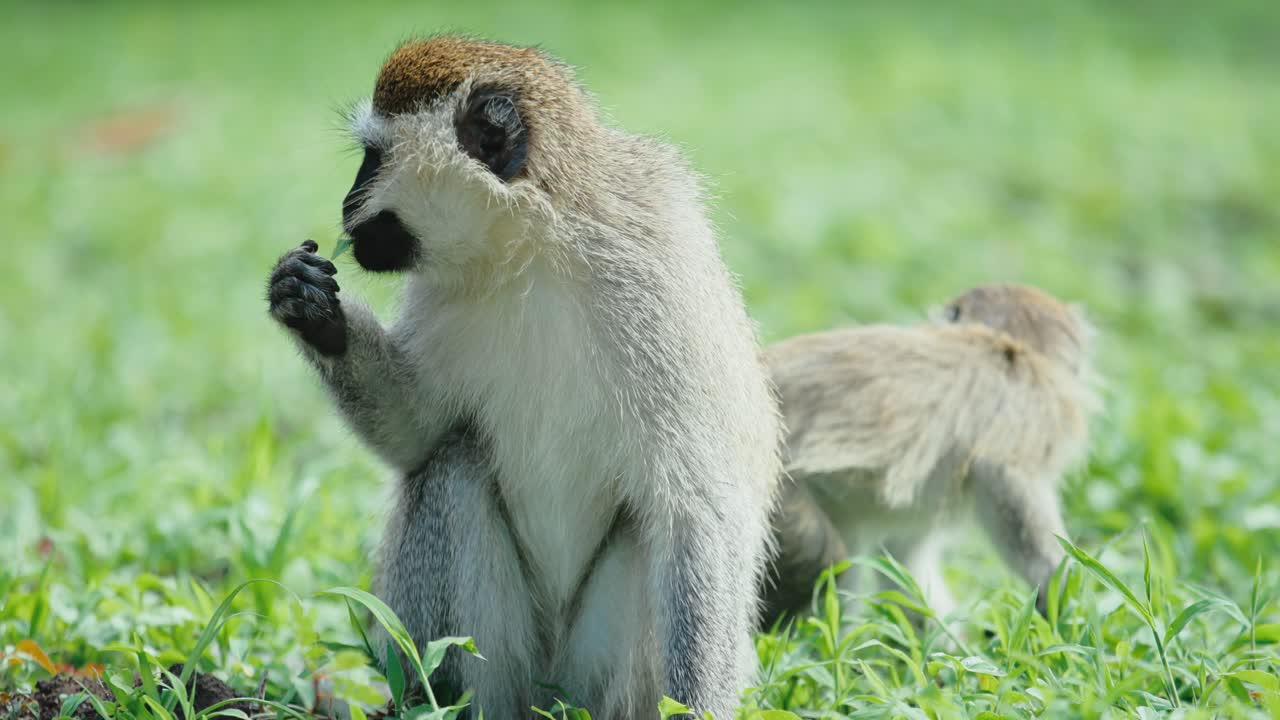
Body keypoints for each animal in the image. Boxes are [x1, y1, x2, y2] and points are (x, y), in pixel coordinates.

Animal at [265, 36, 781, 719]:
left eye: (373, 158)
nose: (345, 206)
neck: (533, 246)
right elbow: (418, 430)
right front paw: (312, 308)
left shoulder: (654, 279)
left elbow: (697, 508)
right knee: (452, 466)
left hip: (595, 669)